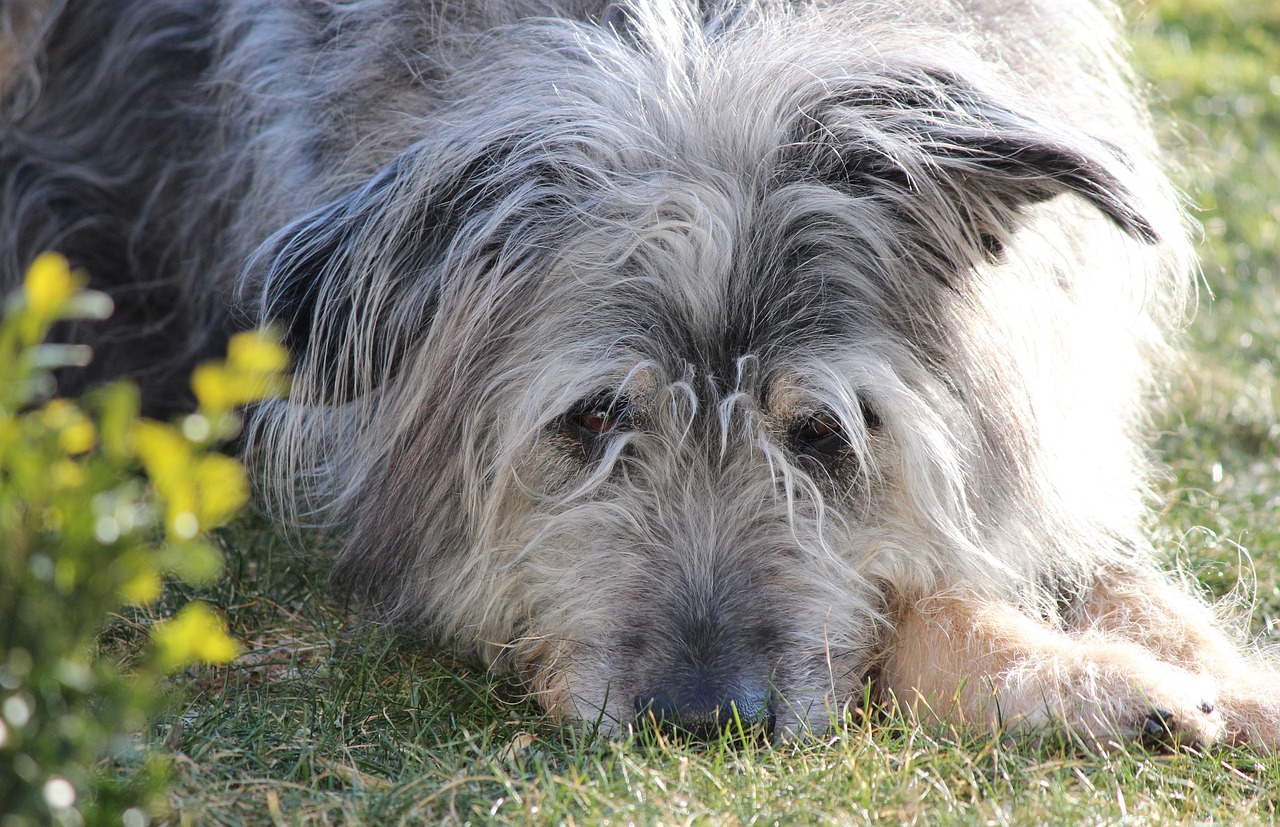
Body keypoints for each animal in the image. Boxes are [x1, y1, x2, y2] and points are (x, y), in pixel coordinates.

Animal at [7, 0, 1280, 752]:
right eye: (591, 419)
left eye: (823, 432)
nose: (699, 718)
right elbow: (916, 606)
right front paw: (1086, 679)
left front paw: (1221, 679)